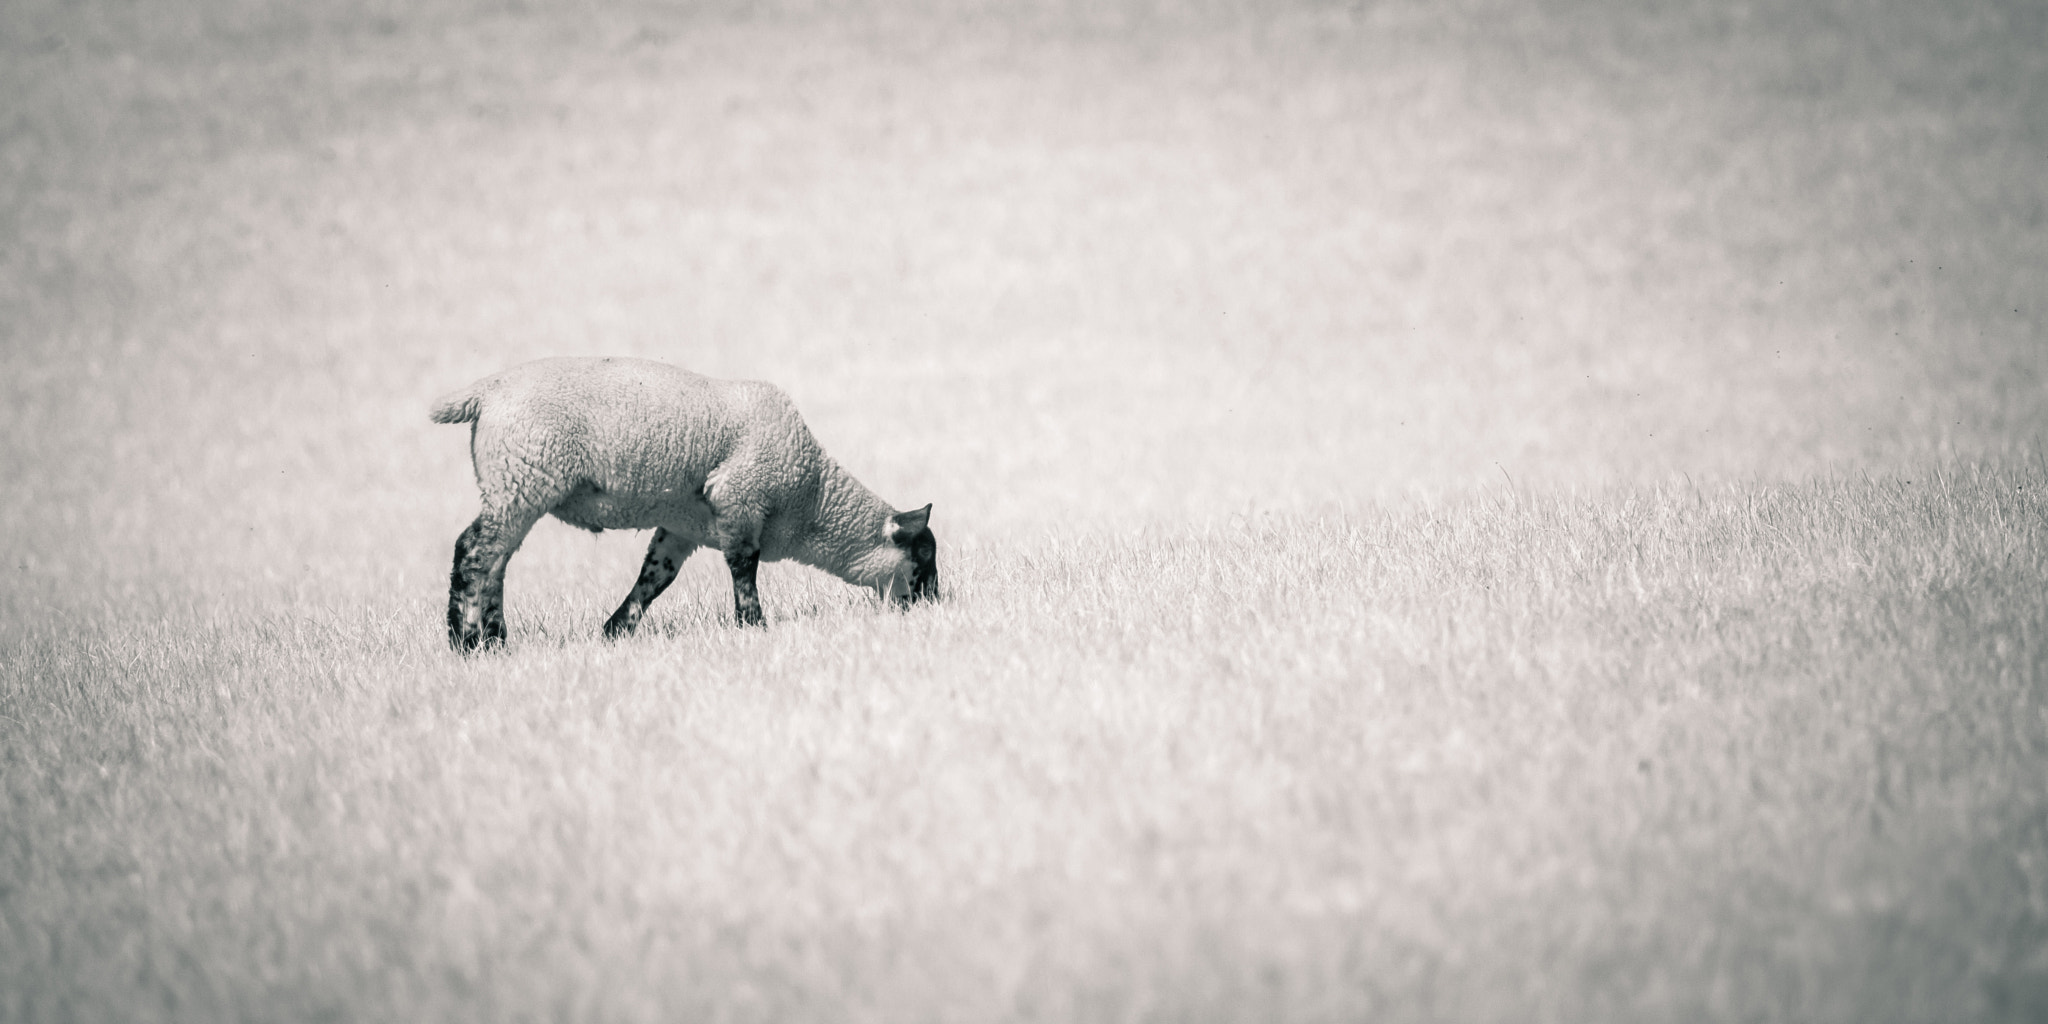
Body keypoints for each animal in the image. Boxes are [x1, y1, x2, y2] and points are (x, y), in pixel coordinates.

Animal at [430, 356, 937, 651]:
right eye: (924, 558)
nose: (936, 607)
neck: (812, 498)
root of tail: (484, 393)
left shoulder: (682, 526)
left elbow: (654, 579)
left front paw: (616, 631)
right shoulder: (740, 499)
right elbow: (744, 570)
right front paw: (754, 627)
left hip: (514, 485)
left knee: (496, 561)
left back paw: (496, 640)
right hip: (522, 477)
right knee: (473, 551)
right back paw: (465, 643)